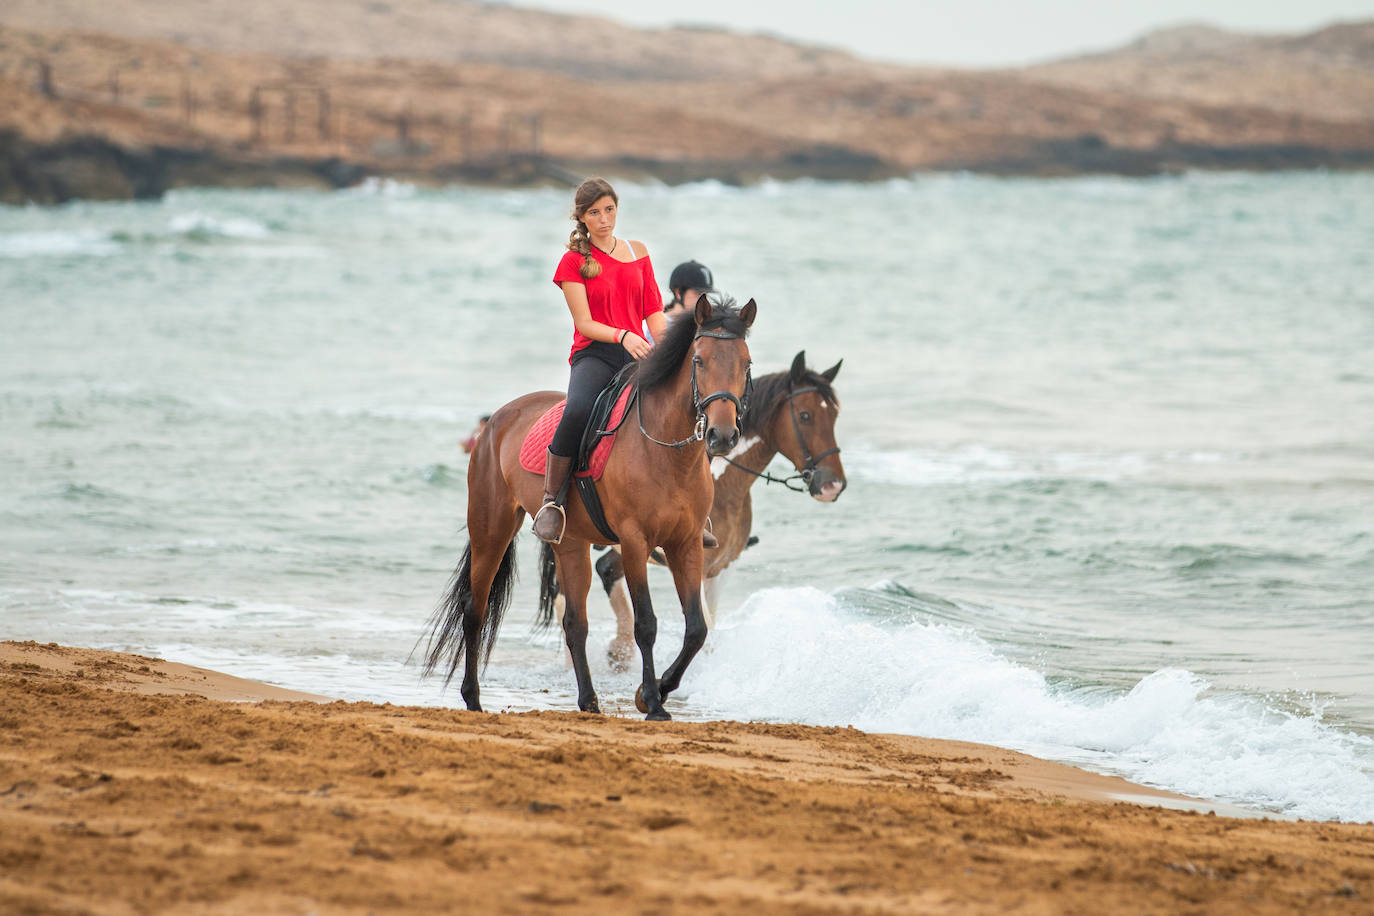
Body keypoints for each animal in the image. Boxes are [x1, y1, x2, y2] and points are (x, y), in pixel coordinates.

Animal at [420, 295, 757, 720]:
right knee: (474, 609)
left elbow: (697, 628)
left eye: (746, 363)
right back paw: (474, 698)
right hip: (491, 529)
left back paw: (589, 701)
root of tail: (498, 418)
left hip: (570, 542)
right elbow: (646, 624)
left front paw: (657, 691)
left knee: (574, 622)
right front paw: (653, 701)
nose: (723, 435)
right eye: (699, 360)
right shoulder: (634, 542)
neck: (666, 451)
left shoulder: (688, 543)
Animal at [538, 351, 846, 666]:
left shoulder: (720, 569)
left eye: (834, 416)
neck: (721, 478)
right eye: (805, 416)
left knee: (606, 570)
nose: (833, 485)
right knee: (564, 596)